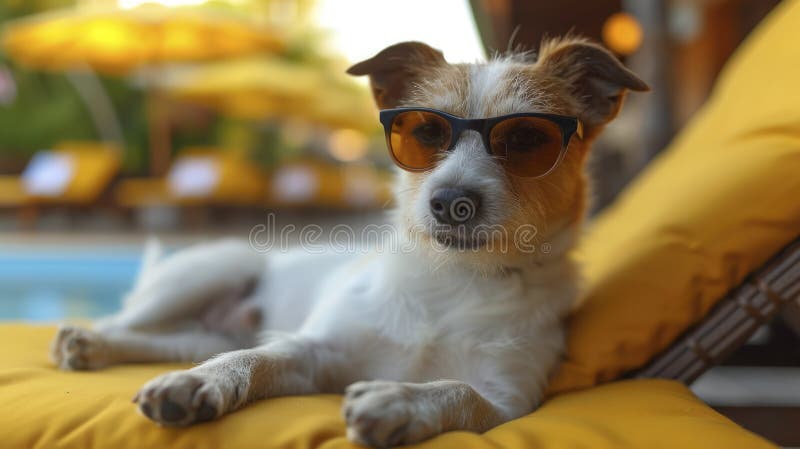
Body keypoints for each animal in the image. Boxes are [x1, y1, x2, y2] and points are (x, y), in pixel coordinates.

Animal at [50, 36, 648, 446]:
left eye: (526, 138)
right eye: (424, 132)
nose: (450, 201)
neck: (451, 281)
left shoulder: (508, 403)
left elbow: (457, 391)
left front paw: (401, 399)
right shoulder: (310, 350)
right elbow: (252, 357)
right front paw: (201, 384)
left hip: (200, 322)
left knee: (177, 341)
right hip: (214, 267)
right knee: (135, 323)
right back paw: (89, 341)